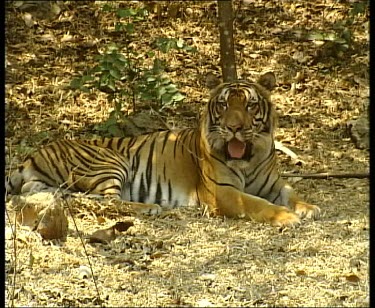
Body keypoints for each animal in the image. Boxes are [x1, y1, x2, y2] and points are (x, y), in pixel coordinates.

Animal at [6, 71, 320, 226]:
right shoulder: (223, 193)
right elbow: (257, 204)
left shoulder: (273, 184)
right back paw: (151, 208)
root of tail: (33, 155)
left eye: (250, 105)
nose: (233, 128)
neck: (250, 157)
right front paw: (287, 218)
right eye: (223, 105)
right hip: (109, 162)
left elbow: (291, 193)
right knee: (108, 202)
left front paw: (309, 208)